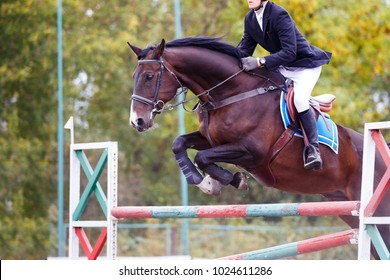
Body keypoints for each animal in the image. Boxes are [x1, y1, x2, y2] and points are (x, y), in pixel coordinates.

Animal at [126, 36, 388, 258]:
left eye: (149, 76)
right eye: (134, 76)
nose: (137, 121)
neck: (231, 93)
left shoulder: (252, 152)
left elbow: (203, 157)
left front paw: (226, 180)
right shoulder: (211, 139)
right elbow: (179, 144)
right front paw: (205, 181)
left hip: (377, 212)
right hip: (348, 210)